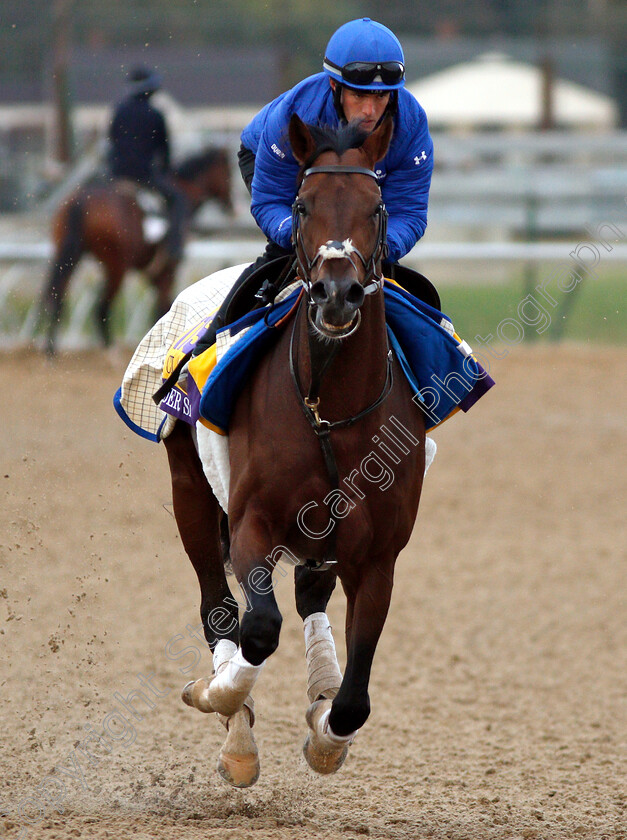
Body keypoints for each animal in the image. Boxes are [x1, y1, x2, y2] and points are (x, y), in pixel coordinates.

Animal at [41, 148, 233, 354]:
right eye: (227, 172)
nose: (231, 206)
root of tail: (81, 200)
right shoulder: (167, 271)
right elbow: (164, 308)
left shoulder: (153, 273)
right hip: (116, 266)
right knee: (101, 307)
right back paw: (108, 350)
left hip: (67, 254)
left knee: (57, 293)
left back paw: (51, 349)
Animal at [163, 113, 426, 788]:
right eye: (303, 205)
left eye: (378, 206)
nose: (337, 292)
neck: (330, 410)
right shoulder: (253, 522)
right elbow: (257, 627)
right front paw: (221, 702)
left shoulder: (377, 554)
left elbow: (356, 700)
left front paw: (327, 733)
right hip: (190, 494)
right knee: (217, 607)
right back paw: (235, 728)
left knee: (308, 596)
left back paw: (317, 691)